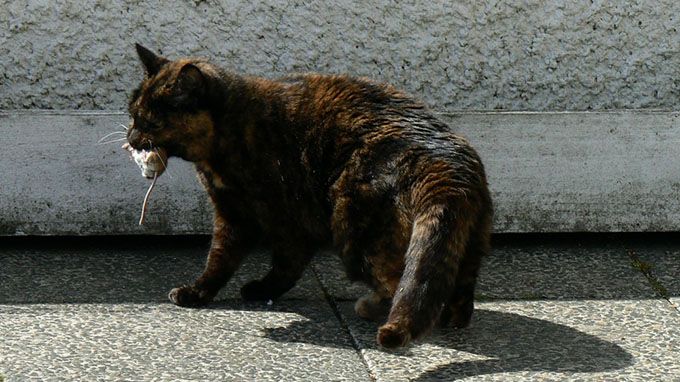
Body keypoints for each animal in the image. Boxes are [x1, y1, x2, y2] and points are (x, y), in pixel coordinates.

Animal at [125, 43, 492, 348]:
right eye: (132, 114)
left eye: (151, 122)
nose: (130, 137)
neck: (231, 128)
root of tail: (446, 167)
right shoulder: (249, 217)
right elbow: (246, 260)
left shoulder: (263, 216)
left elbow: (234, 260)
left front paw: (201, 292)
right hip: (464, 243)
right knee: (455, 293)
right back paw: (451, 318)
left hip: (356, 232)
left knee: (396, 282)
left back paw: (371, 309)